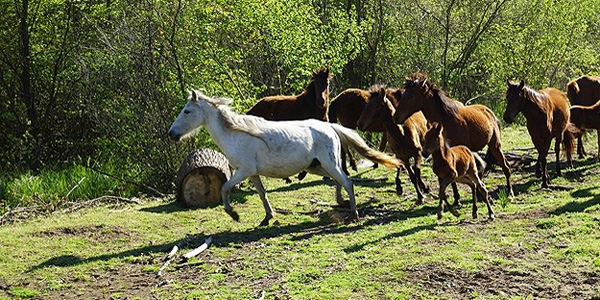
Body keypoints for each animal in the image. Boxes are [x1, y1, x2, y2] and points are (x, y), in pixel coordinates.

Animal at [169, 90, 400, 226]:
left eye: (187, 111)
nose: (172, 134)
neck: (235, 133)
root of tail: (330, 127)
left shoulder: (243, 171)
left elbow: (225, 188)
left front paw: (233, 214)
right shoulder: (252, 174)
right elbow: (262, 194)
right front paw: (268, 217)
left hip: (328, 162)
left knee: (347, 181)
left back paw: (353, 213)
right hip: (317, 166)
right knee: (340, 180)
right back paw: (340, 202)